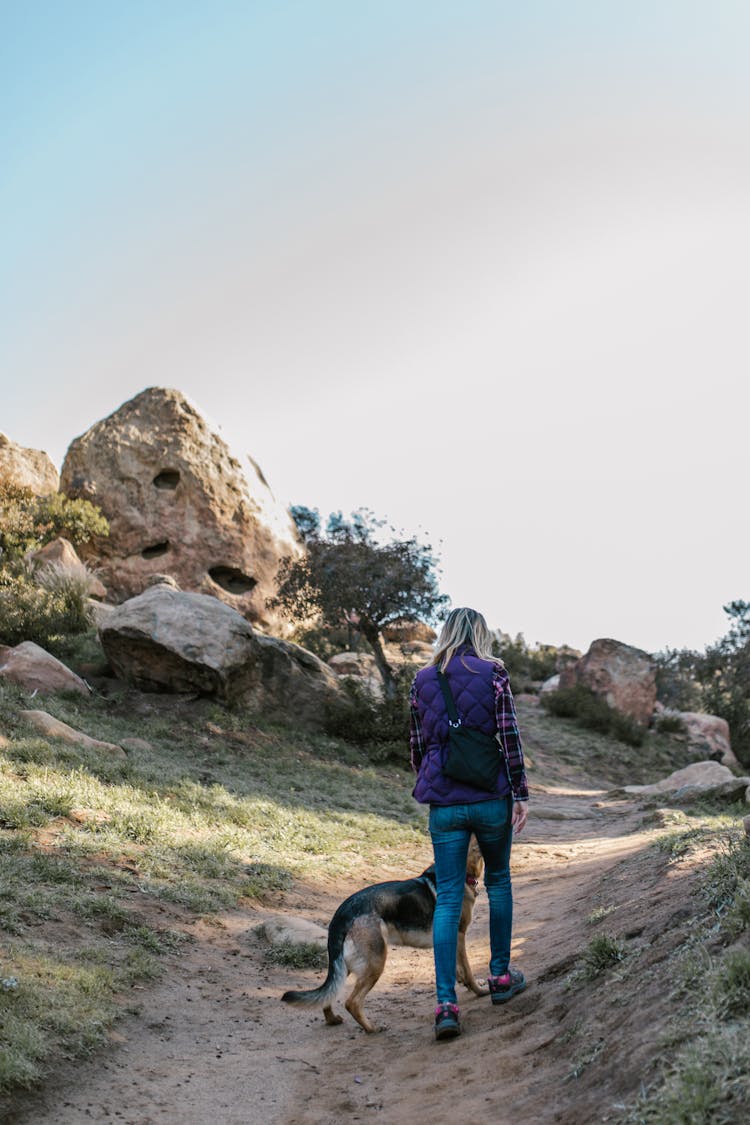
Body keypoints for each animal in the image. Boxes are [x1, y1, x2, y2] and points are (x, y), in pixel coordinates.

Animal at [281, 841, 488, 1030]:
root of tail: (342, 913)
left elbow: (456, 968)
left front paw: (461, 981)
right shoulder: (459, 936)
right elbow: (468, 971)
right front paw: (479, 990)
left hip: (347, 966)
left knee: (331, 992)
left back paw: (333, 1020)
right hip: (376, 963)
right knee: (352, 1002)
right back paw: (372, 1029)